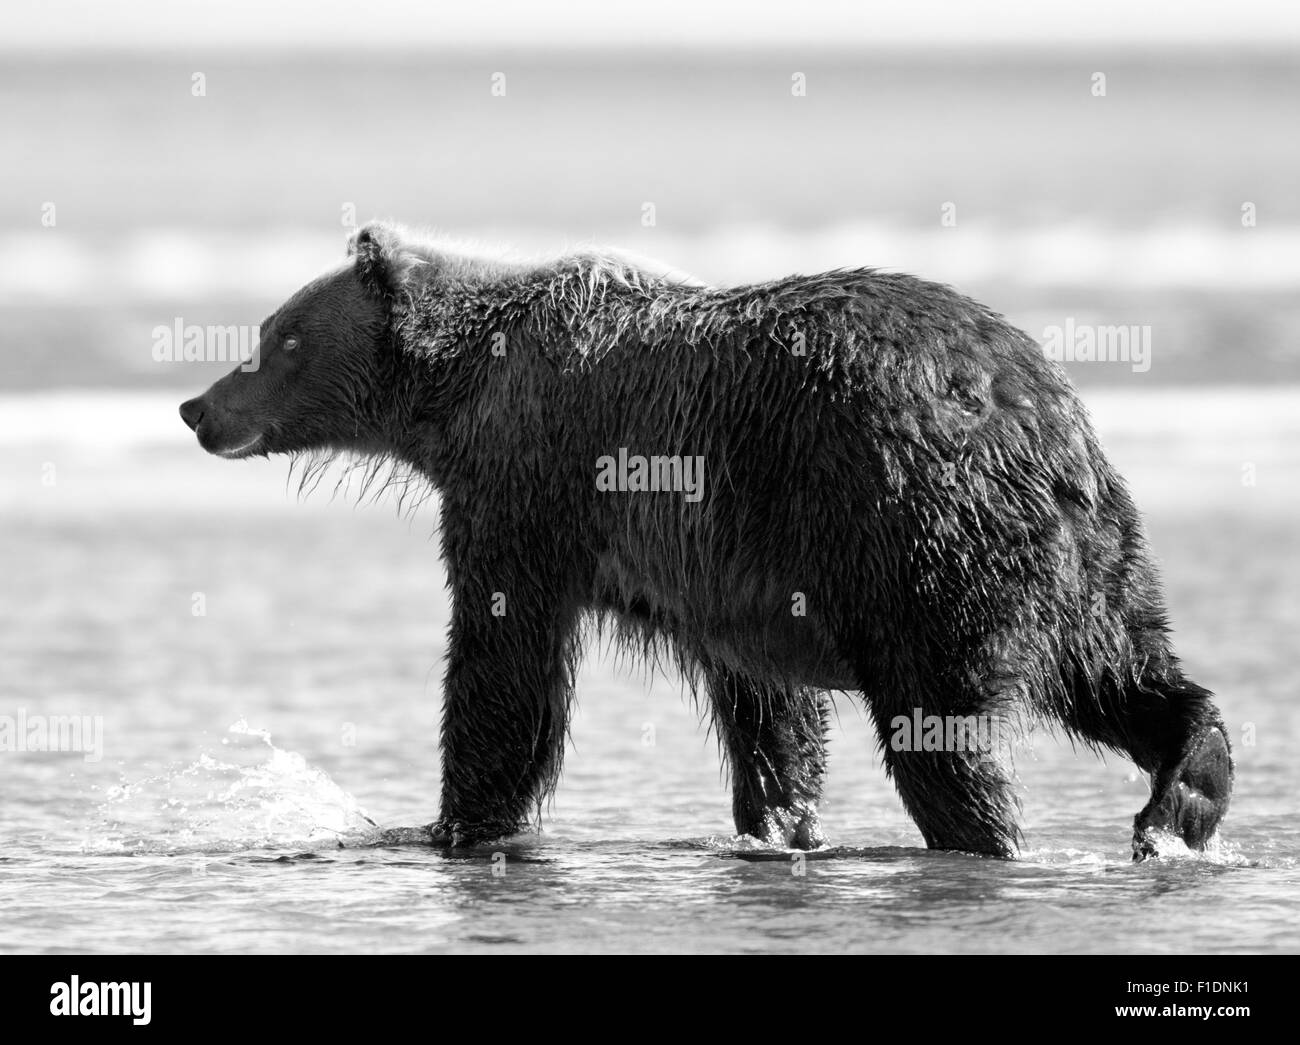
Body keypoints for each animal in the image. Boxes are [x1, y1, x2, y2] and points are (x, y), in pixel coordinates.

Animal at [178, 220, 1232, 857]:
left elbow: (503, 663)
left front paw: (444, 823)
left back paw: (996, 831)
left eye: (277, 337)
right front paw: (780, 821)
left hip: (918, 535)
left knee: (941, 726)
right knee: (1120, 672)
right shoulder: (734, 567)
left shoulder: (531, 487)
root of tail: (1030, 404)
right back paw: (1184, 796)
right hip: (1082, 547)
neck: (457, 391)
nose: (198, 407)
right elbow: (768, 704)